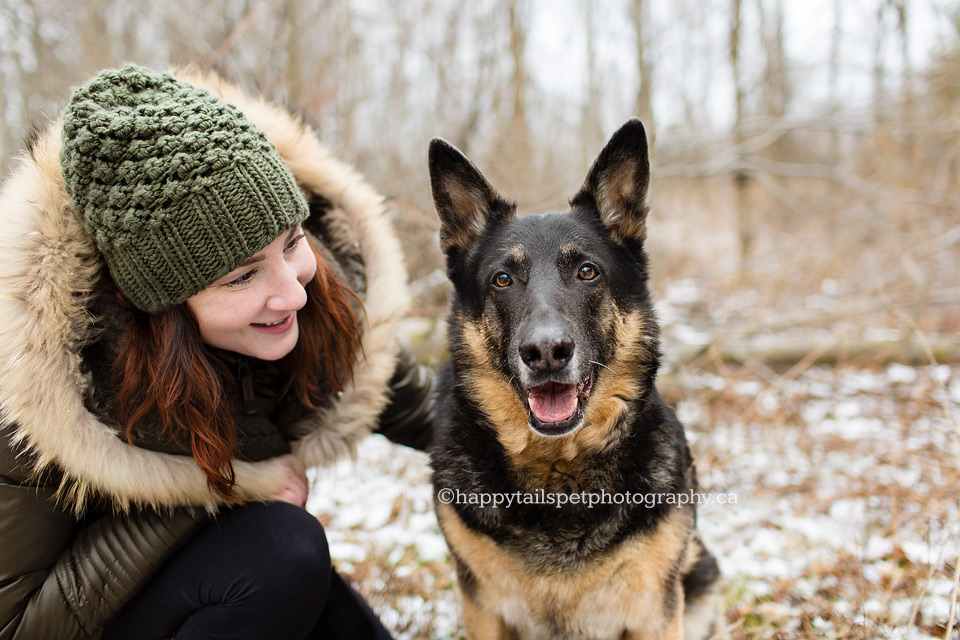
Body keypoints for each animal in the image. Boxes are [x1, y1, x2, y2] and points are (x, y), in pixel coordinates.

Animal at [428, 121, 720, 640]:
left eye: (587, 272)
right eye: (502, 279)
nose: (546, 352)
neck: (558, 472)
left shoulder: (655, 613)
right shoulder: (482, 608)